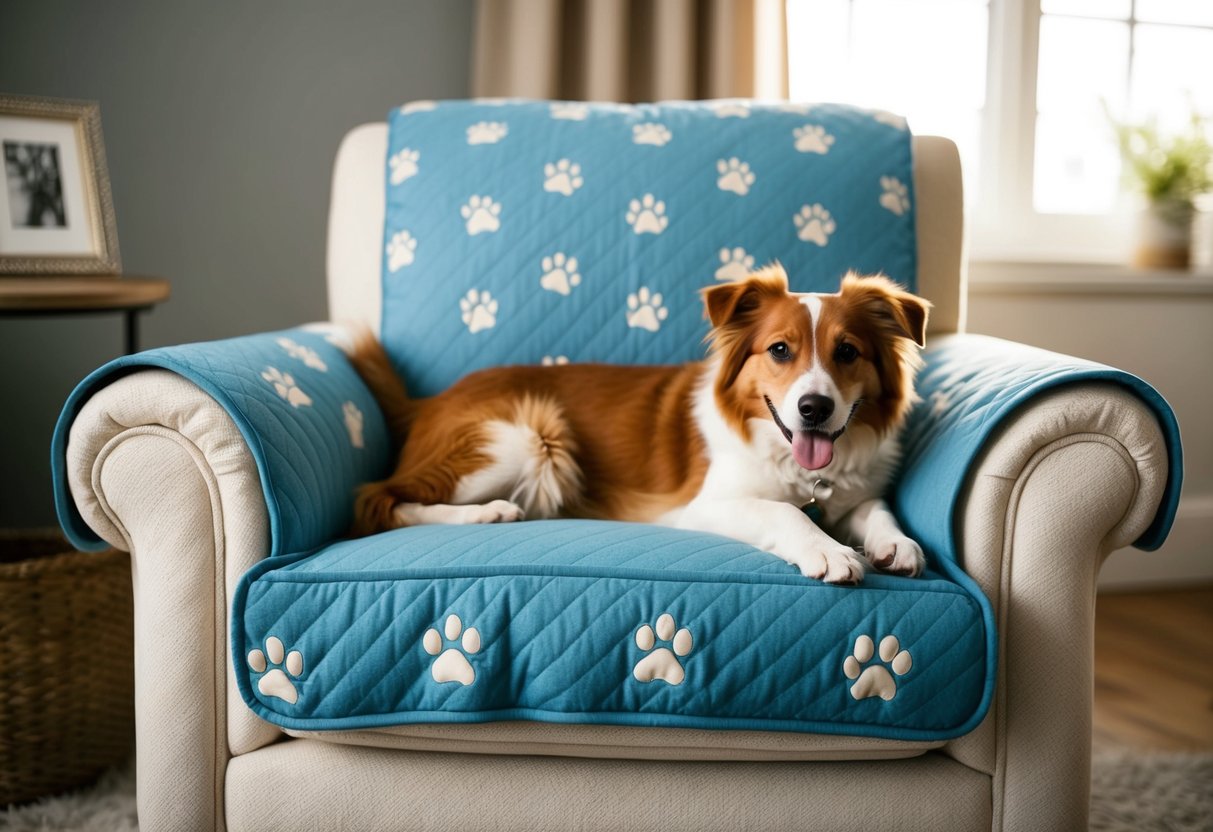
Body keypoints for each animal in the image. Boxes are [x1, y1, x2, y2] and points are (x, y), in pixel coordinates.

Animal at [346, 266, 931, 587]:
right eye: (780, 350)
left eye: (847, 352)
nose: (814, 408)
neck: (792, 458)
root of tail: (426, 401)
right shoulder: (699, 506)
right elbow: (784, 511)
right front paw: (828, 550)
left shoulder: (852, 490)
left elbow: (874, 507)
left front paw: (896, 543)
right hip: (525, 439)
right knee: (380, 500)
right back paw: (485, 514)